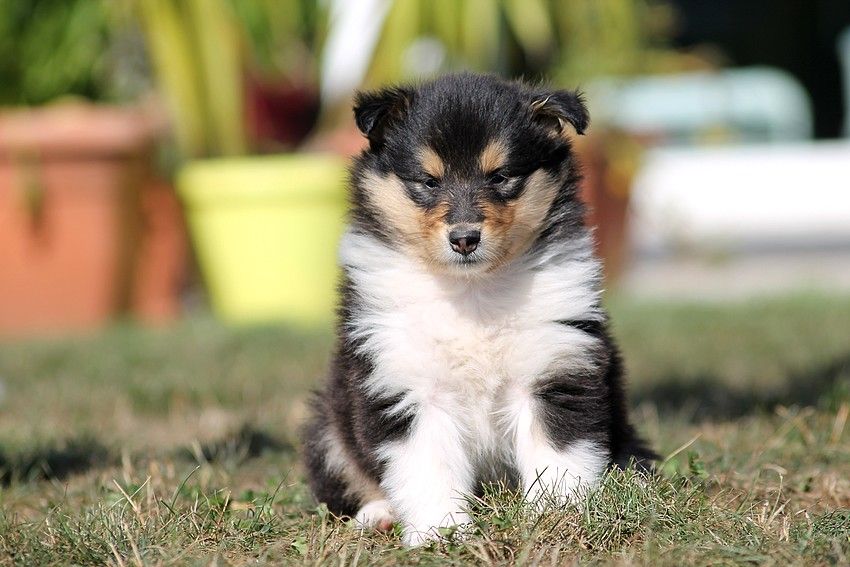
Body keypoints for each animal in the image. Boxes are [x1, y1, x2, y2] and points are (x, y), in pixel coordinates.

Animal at [304, 72, 656, 544]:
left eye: (501, 176)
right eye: (429, 181)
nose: (465, 238)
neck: (472, 292)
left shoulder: (554, 369)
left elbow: (557, 456)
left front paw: (556, 518)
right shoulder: (409, 385)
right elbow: (427, 467)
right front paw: (441, 534)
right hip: (328, 425)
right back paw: (379, 514)